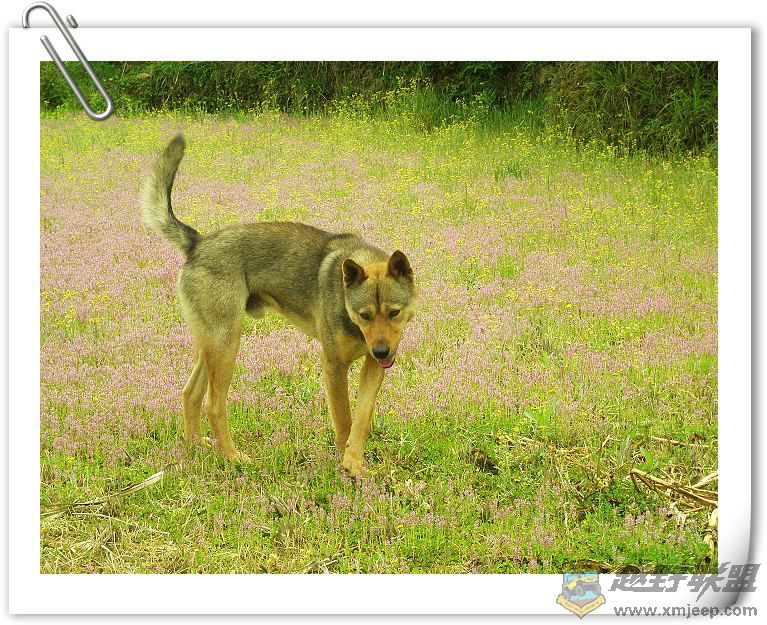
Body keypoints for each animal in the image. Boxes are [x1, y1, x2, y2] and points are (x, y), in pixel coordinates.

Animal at [140, 135, 417, 476]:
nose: (382, 352)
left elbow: (361, 419)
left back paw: (197, 447)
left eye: (394, 313)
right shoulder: (334, 367)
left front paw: (354, 462)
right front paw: (345, 467)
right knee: (214, 405)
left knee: (190, 393)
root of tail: (198, 242)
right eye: (364, 315)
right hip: (227, 344)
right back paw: (232, 457)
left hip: (212, 345)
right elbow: (344, 420)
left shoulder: (372, 368)